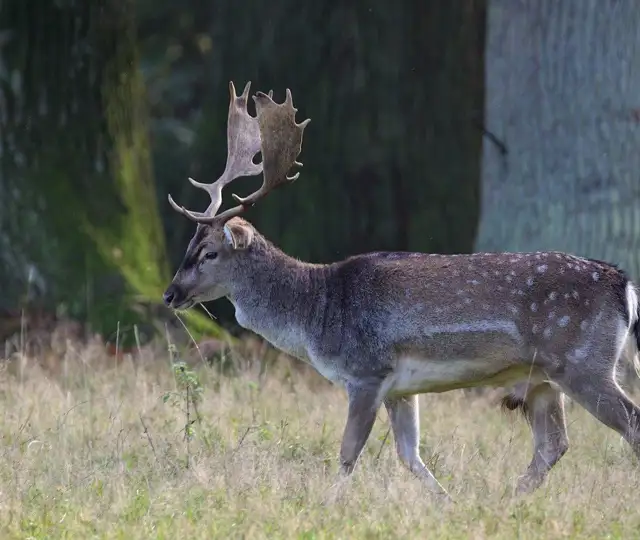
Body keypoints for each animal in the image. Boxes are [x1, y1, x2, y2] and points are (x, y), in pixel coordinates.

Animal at [163, 81, 640, 499]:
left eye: (209, 253)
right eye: (188, 246)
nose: (170, 294)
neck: (316, 312)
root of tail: (625, 285)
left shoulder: (366, 371)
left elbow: (348, 455)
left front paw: (325, 506)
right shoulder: (401, 388)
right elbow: (411, 457)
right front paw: (449, 505)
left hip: (583, 362)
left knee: (628, 423)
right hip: (544, 377)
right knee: (553, 445)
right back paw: (506, 502)